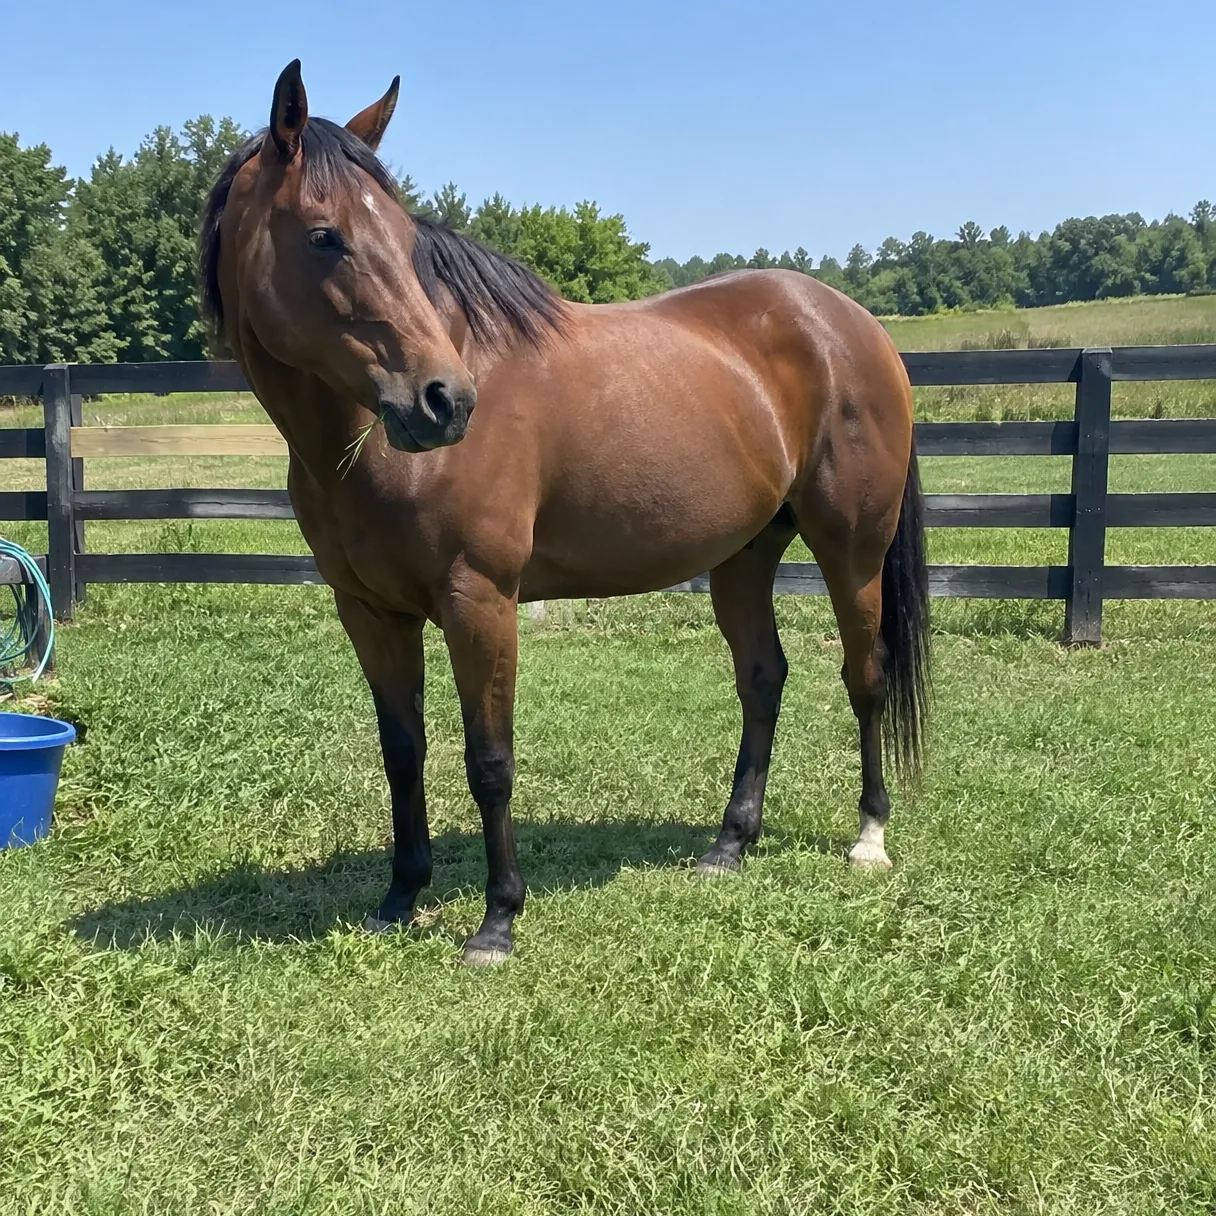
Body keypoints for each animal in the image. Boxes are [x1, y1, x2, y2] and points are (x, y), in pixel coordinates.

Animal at [200, 60, 931, 966]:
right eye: (324, 235)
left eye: (405, 240)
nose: (443, 402)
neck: (364, 448)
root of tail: (852, 324)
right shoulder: (368, 611)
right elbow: (403, 752)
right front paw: (400, 896)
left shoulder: (479, 602)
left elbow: (490, 761)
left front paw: (497, 920)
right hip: (744, 555)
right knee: (763, 680)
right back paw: (730, 843)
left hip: (851, 548)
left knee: (865, 676)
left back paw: (869, 837)